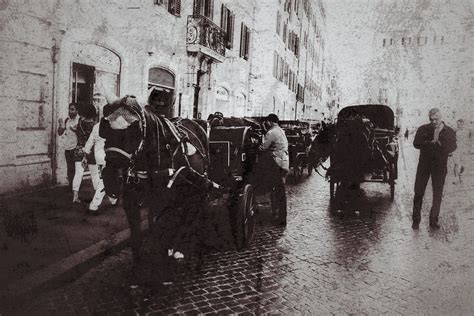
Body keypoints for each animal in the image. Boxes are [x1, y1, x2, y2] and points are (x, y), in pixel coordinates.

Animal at [99, 95, 214, 278]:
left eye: (135, 131)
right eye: (104, 128)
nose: (111, 178)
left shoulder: (164, 201)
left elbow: (161, 234)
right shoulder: (131, 202)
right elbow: (137, 237)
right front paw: (137, 270)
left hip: (199, 185)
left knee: (192, 212)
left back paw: (182, 248)